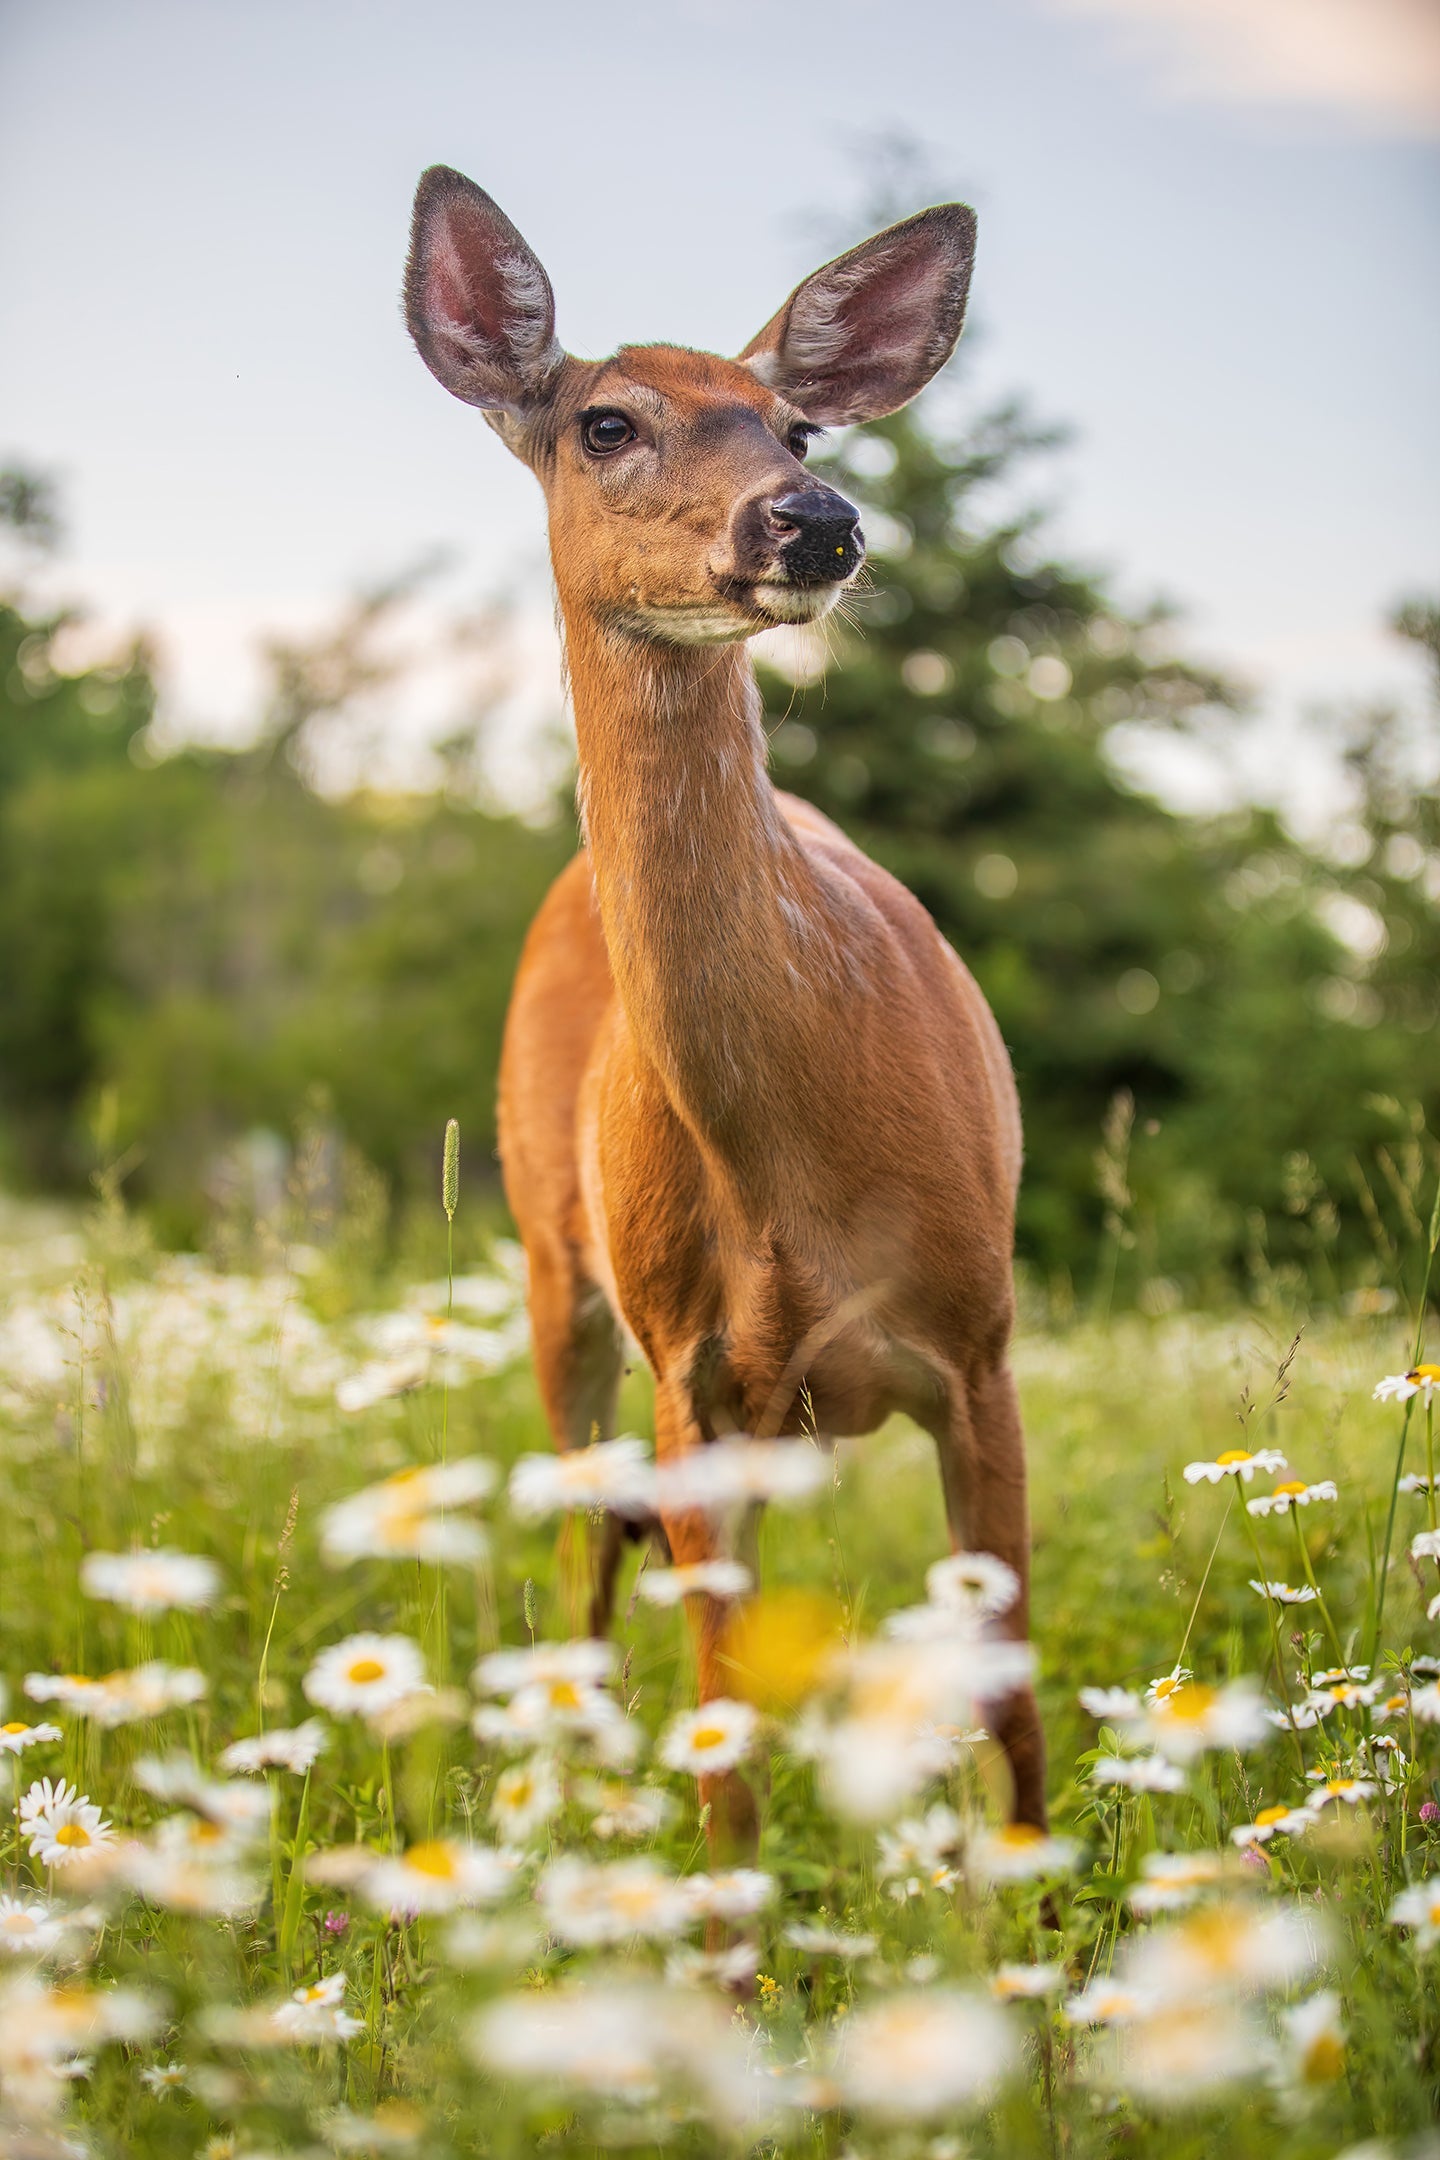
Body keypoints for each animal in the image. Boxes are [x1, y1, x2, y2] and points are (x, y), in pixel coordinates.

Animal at [405, 172, 1049, 1857]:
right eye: (605, 422)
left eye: (796, 425)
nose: (811, 521)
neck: (795, 1167)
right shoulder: (694, 1372)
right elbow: (727, 1755)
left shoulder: (983, 1342)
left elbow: (1012, 1714)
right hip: (558, 1266)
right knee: (582, 1545)